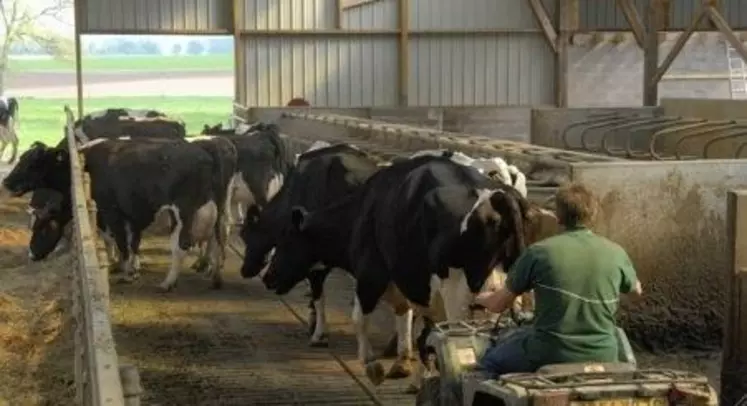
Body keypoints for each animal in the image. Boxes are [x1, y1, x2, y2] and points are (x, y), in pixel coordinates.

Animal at [266, 155, 528, 386]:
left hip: (459, 297)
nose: (268, 277)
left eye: (285, 238)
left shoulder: (370, 273)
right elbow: (413, 323)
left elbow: (360, 318)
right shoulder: (410, 281)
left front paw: (372, 365)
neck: (362, 210)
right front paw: (406, 366)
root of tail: (496, 197)